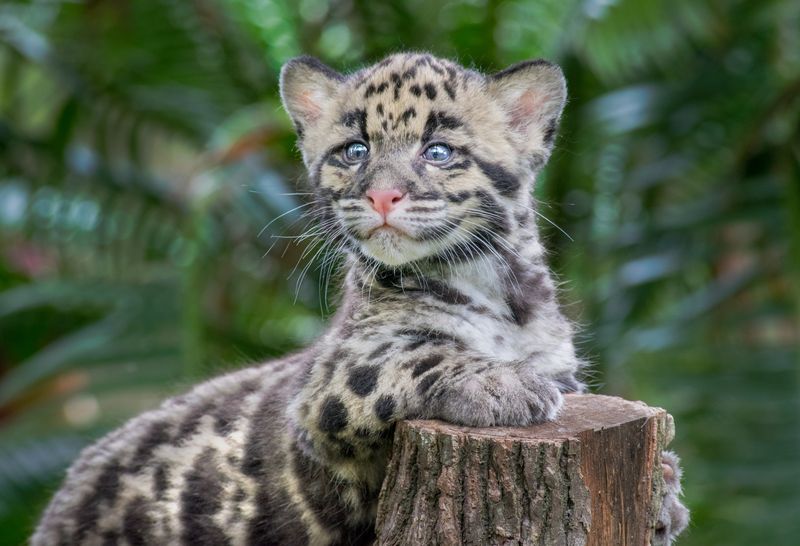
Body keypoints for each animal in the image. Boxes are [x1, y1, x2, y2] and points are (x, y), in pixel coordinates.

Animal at [32, 52, 688, 545]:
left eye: (438, 151)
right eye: (355, 150)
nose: (382, 196)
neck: (499, 290)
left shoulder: (563, 365)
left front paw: (666, 490)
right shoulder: (331, 382)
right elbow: (422, 355)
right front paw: (506, 385)